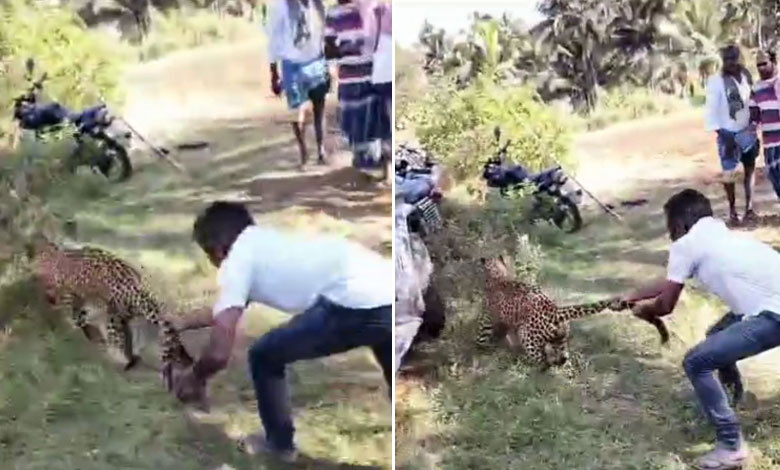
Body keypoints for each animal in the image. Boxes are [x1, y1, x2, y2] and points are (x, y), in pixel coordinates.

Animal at [28, 237, 193, 392]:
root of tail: (135, 285)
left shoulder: (69, 295)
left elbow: (73, 314)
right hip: (122, 314)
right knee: (126, 336)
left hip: (111, 313)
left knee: (116, 337)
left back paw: (116, 358)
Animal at [478, 255, 668, 370]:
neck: (498, 276)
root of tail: (555, 310)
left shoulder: (487, 318)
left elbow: (483, 335)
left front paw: (482, 350)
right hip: (560, 339)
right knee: (563, 359)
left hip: (528, 337)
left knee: (543, 362)